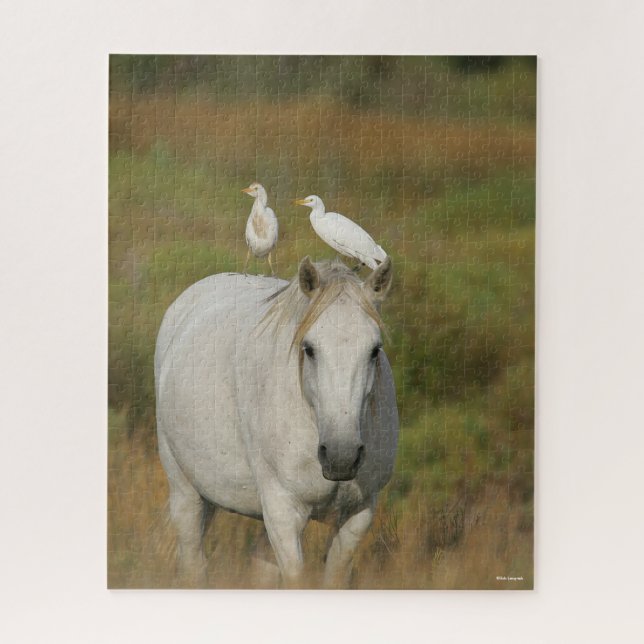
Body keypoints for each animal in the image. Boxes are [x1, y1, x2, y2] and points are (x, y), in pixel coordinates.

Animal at [154, 256, 399, 587]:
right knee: (193, 563)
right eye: (309, 348)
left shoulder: (357, 515)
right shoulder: (283, 511)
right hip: (185, 491)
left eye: (375, 350)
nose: (341, 456)